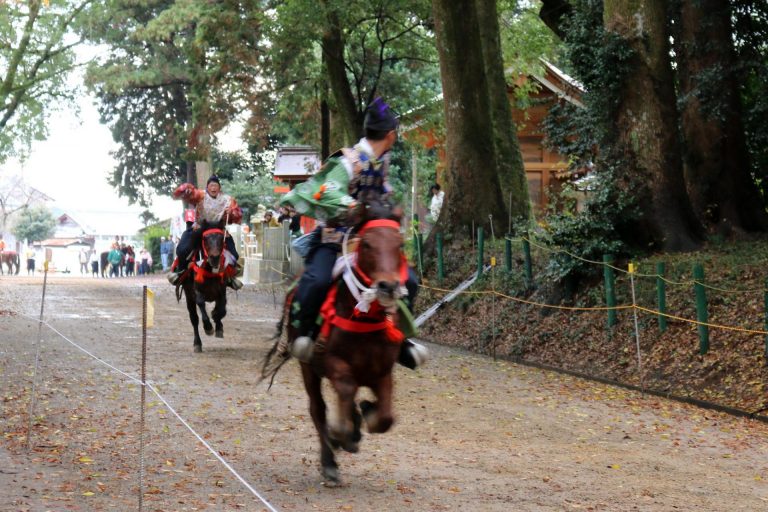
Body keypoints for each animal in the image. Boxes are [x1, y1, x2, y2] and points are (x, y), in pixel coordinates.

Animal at [262, 199, 408, 484]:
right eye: (367, 244)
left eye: (400, 244)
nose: (387, 286)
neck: (365, 318)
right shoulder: (330, 362)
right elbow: (345, 390)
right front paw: (342, 435)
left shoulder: (383, 371)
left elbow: (385, 418)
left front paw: (365, 414)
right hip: (308, 368)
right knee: (317, 409)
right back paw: (330, 461)